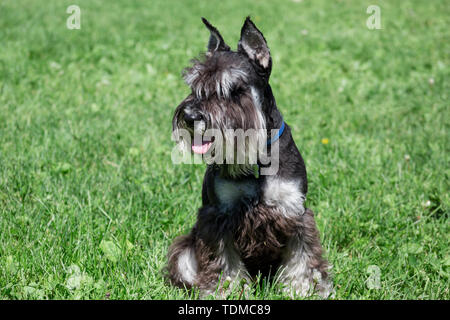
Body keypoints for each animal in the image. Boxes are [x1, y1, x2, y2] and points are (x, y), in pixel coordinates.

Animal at [167, 16, 332, 298]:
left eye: (233, 89)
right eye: (194, 85)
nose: (188, 117)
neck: (256, 160)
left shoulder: (294, 211)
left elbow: (302, 257)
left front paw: (304, 289)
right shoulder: (218, 216)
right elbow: (224, 261)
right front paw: (226, 291)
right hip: (186, 250)